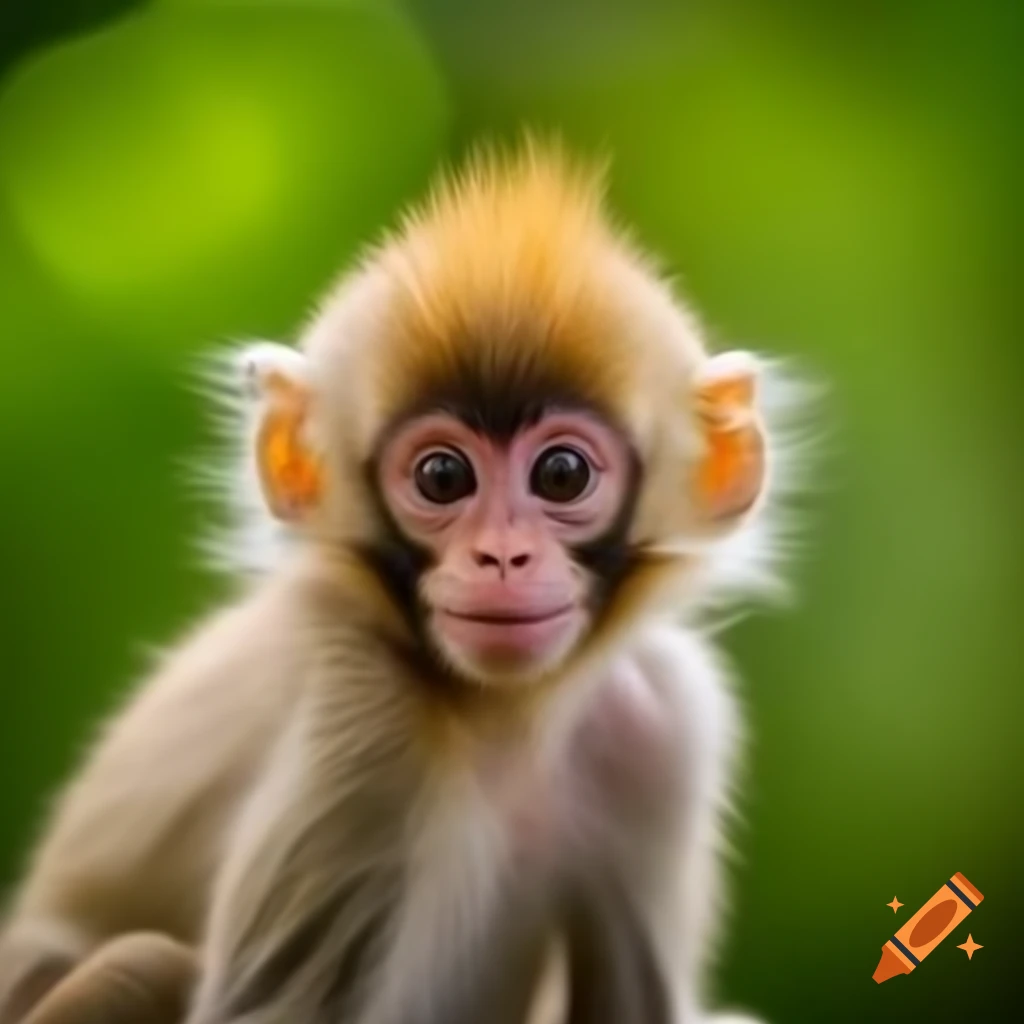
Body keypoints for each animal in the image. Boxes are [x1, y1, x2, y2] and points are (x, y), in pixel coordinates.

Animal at [0, 141, 797, 1024]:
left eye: (561, 473)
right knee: (143, 961)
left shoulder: (666, 722)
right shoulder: (362, 733)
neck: (502, 719)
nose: (502, 558)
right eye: (443, 476)